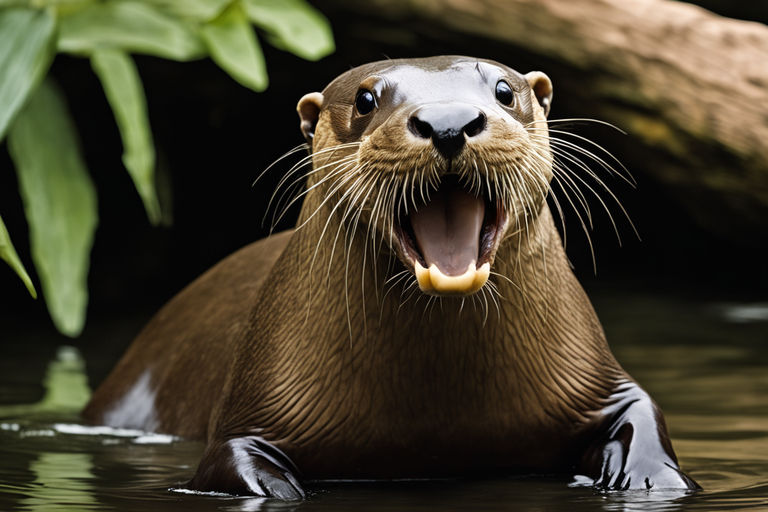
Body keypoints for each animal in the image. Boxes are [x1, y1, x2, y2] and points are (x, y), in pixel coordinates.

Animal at [82, 57, 696, 500]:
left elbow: (642, 414)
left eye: (504, 90)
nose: (448, 121)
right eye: (364, 99)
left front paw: (647, 478)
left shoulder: (595, 376)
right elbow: (230, 461)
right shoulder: (250, 411)